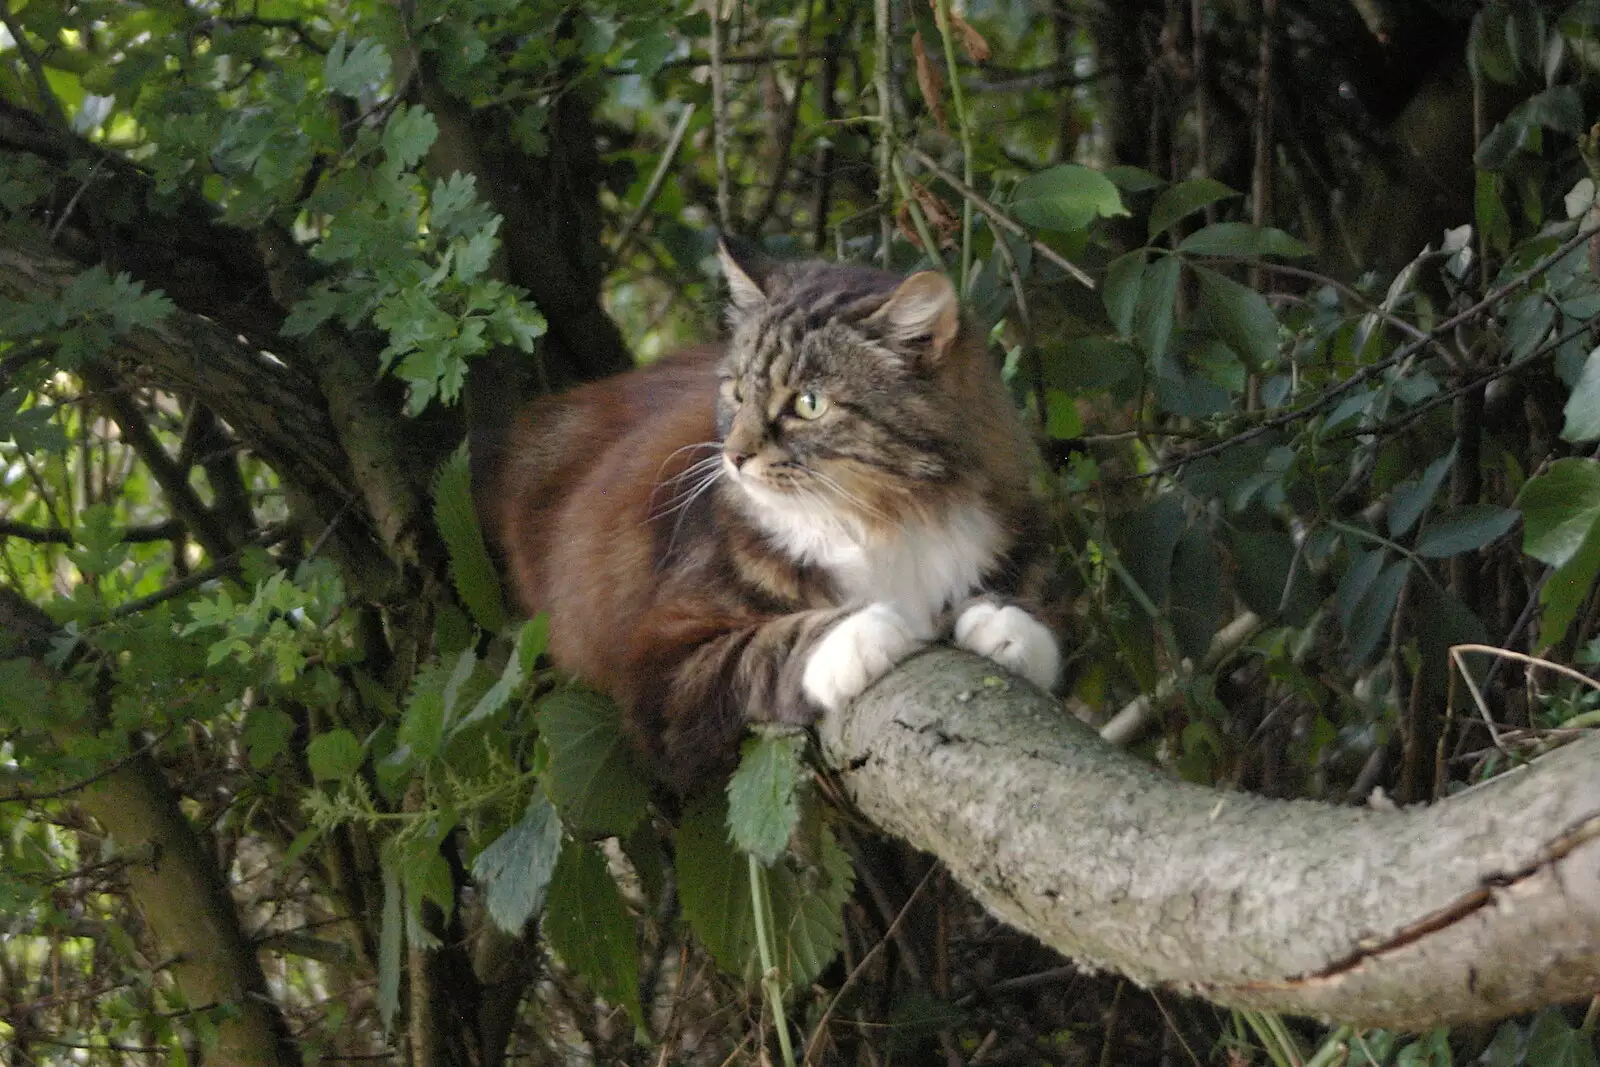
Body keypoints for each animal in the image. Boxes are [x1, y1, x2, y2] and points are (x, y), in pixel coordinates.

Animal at [492, 239, 1068, 793]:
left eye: (809, 404)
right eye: (736, 392)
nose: (734, 455)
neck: (885, 519)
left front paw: (1005, 625)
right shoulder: (663, 668)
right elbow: (765, 648)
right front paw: (860, 632)